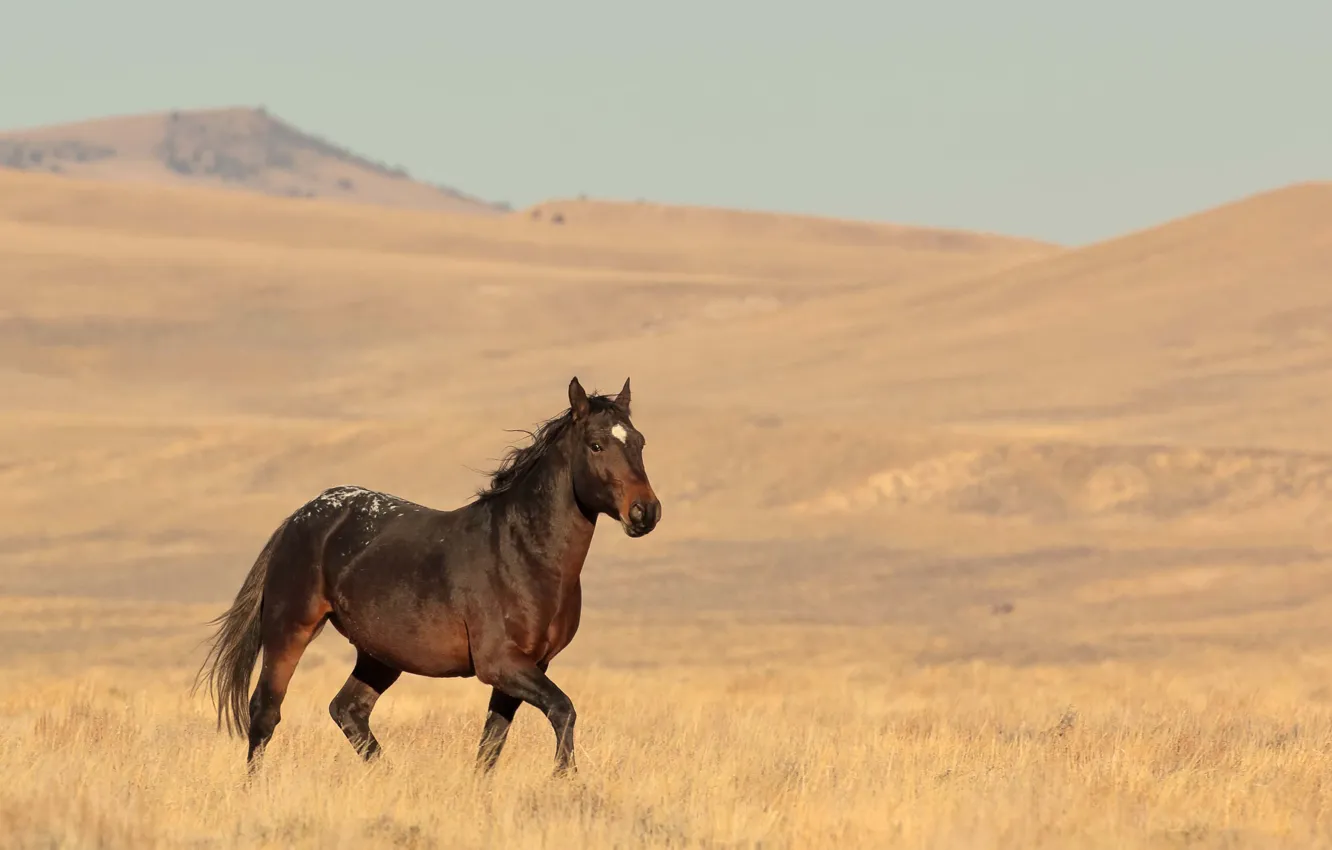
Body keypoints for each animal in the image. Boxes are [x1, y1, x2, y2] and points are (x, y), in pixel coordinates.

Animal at [193, 378, 660, 778]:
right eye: (596, 445)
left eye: (639, 442)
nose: (645, 512)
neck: (523, 553)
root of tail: (301, 516)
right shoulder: (502, 664)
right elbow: (563, 709)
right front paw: (564, 781)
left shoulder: (528, 667)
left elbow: (491, 743)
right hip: (291, 629)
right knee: (265, 712)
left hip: (380, 654)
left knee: (348, 711)